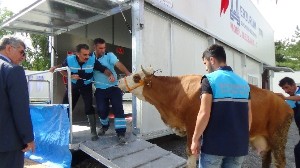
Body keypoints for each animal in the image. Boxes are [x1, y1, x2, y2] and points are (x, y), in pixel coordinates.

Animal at [118, 66, 292, 168]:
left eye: (136, 77)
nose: (119, 80)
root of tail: (283, 102)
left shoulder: (192, 127)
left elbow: (190, 154)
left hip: (278, 138)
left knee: (280, 161)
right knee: (266, 159)